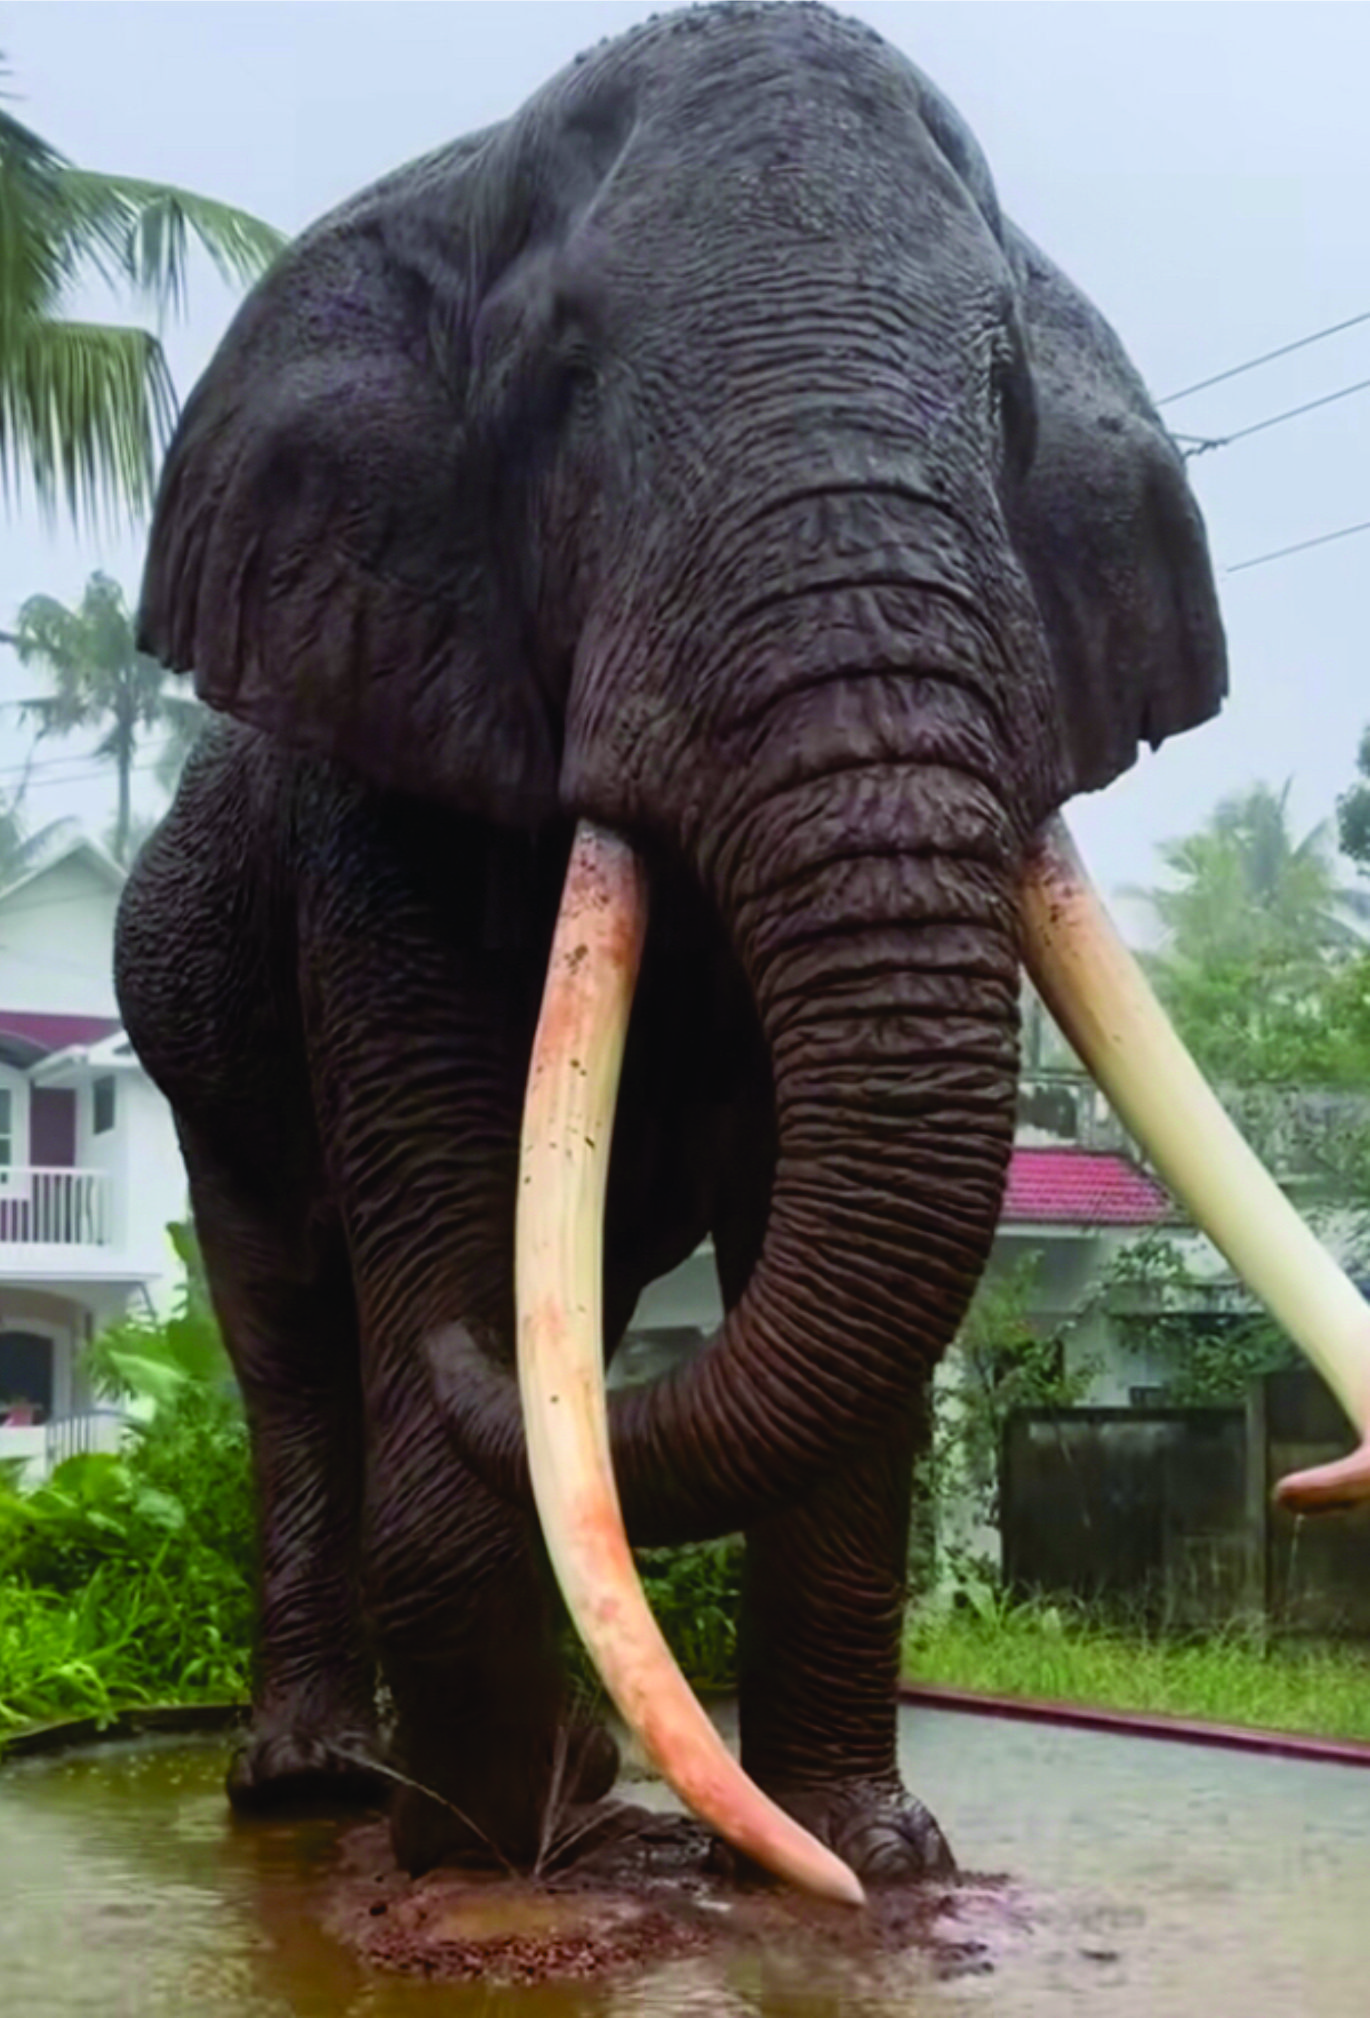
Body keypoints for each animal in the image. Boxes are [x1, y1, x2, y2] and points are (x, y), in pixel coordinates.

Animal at [114, 1, 1370, 1901]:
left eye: (1006, 399)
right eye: (559, 387)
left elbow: (801, 1198)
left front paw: (867, 1861)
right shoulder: (379, 774)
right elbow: (442, 1192)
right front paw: (499, 1852)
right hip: (194, 1032)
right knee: (294, 1345)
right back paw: (328, 1781)